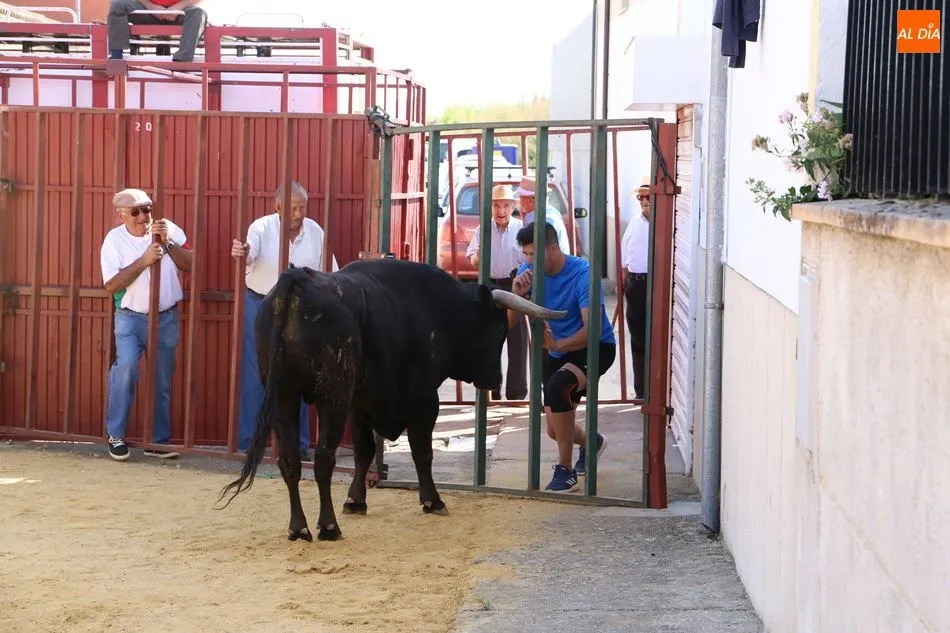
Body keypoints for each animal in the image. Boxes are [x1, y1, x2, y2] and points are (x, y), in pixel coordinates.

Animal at [216, 258, 566, 542]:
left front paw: (355, 501)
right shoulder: (423, 401)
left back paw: (298, 528)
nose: (495, 379)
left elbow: (364, 451)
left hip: (284, 397)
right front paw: (432, 500)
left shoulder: (359, 403)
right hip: (331, 396)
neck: (437, 309)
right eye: (498, 331)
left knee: (290, 460)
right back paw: (328, 527)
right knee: (324, 459)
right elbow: (422, 452)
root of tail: (296, 280)